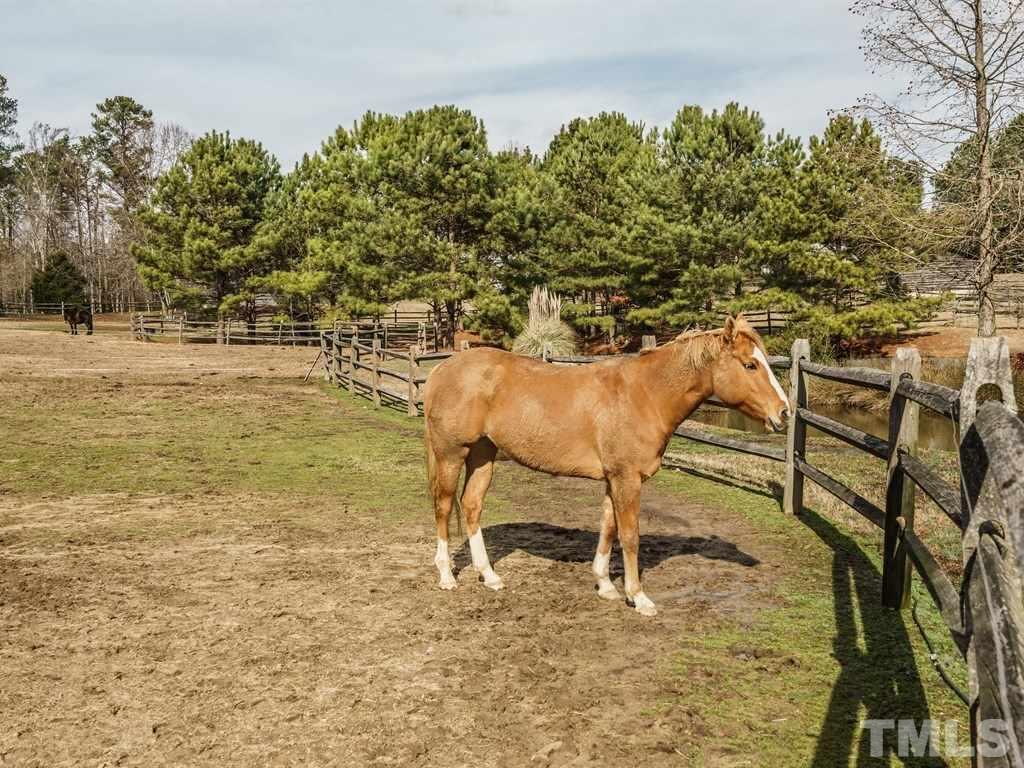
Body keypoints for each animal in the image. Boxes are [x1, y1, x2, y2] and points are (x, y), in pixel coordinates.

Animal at [423, 315, 789, 617]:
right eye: (750, 365)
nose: (784, 413)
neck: (644, 395)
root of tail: (442, 369)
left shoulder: (615, 478)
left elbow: (608, 527)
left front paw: (606, 585)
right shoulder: (628, 478)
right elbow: (630, 536)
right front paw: (638, 597)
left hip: (483, 454)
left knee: (471, 506)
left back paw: (489, 576)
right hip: (451, 454)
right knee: (443, 507)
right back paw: (446, 576)